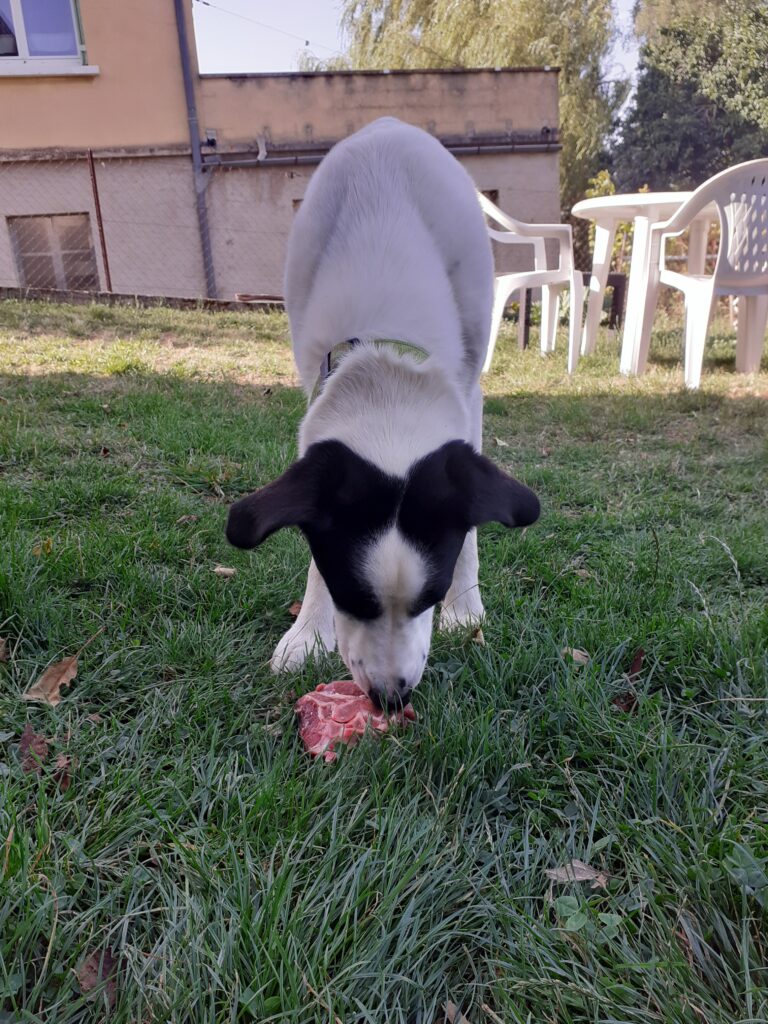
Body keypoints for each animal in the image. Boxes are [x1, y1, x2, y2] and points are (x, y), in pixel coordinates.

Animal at [227, 116, 540, 708]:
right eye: (351, 596)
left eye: (431, 596)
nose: (390, 698)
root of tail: (389, 125)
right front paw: (309, 632)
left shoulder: (464, 391)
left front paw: (464, 607)